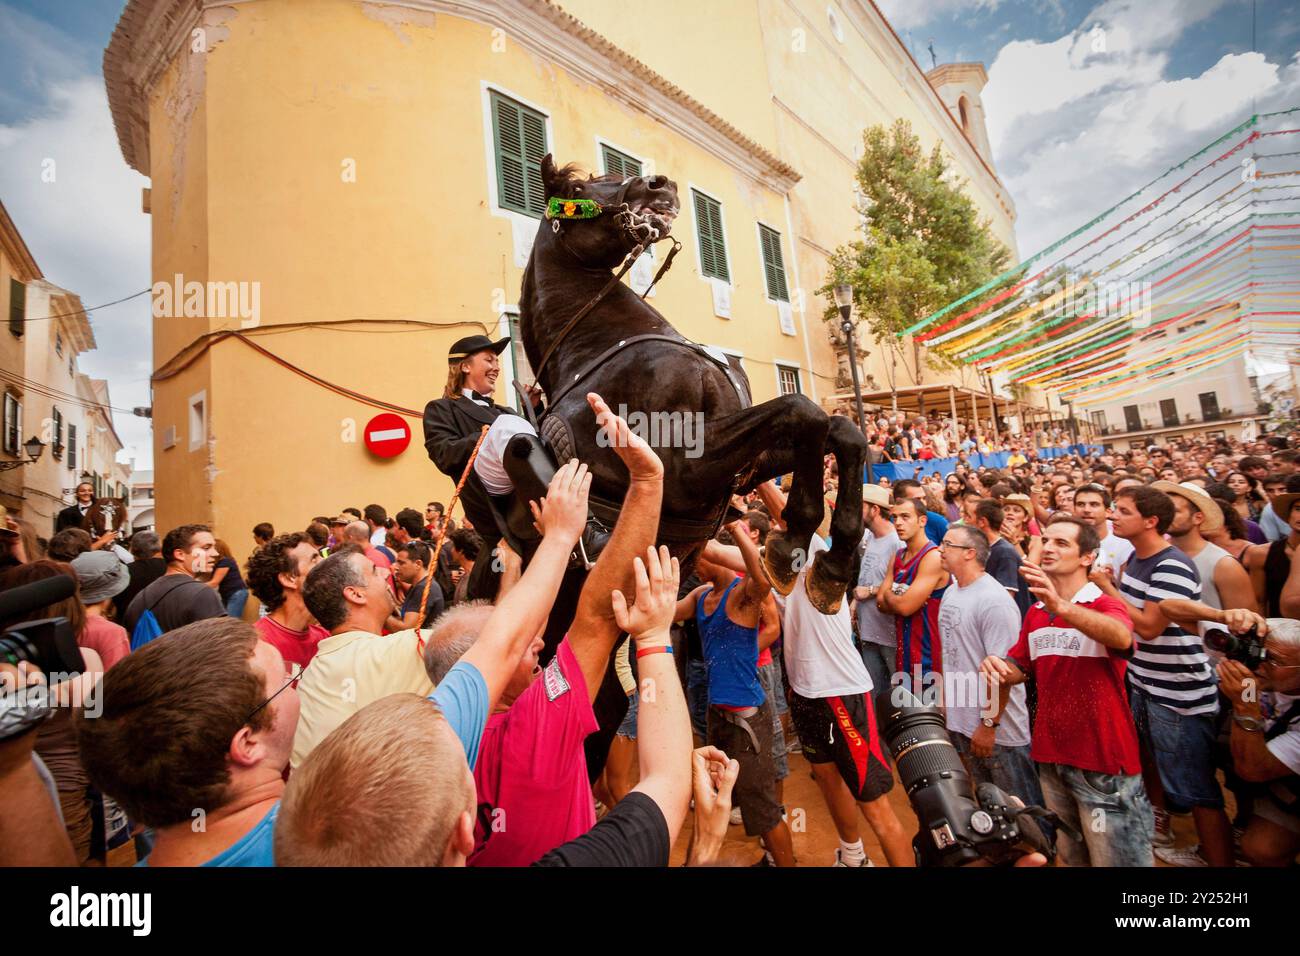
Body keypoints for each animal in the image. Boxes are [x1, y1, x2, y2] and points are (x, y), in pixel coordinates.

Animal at [517, 153, 863, 616]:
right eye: (575, 191)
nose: (658, 183)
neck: (597, 343)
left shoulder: (744, 469)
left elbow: (840, 430)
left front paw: (834, 564)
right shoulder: (684, 468)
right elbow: (801, 409)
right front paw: (791, 542)